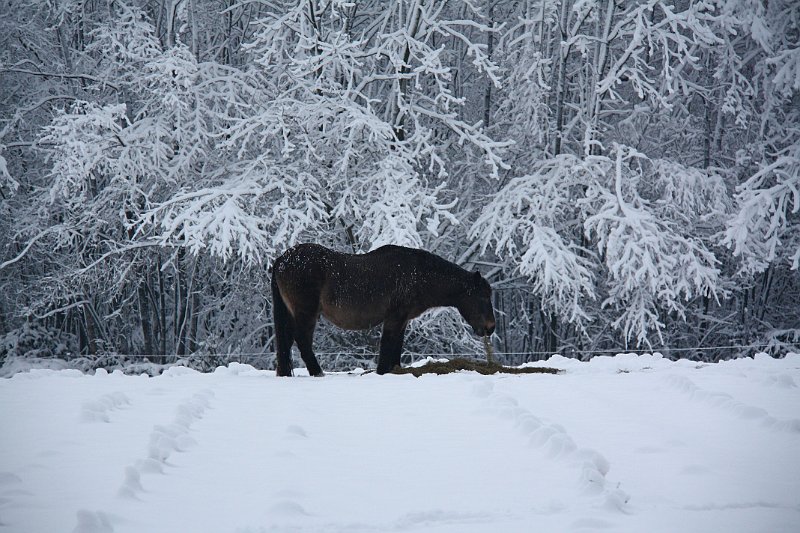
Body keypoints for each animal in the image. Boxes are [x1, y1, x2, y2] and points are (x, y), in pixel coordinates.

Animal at [270, 243, 494, 376]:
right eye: (483, 296)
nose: (490, 327)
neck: (419, 275)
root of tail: (282, 259)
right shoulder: (394, 318)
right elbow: (387, 347)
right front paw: (381, 373)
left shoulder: (403, 320)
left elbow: (396, 349)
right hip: (307, 313)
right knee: (301, 339)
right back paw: (318, 372)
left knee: (286, 341)